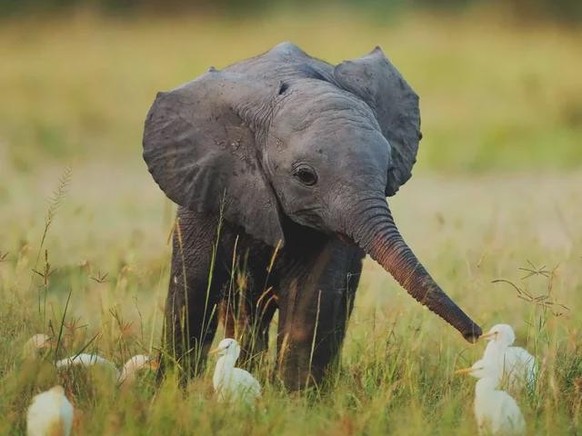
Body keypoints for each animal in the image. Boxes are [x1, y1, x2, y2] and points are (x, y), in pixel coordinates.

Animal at [143, 41, 484, 388]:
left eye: (388, 169)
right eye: (305, 176)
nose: (476, 333)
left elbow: (314, 294)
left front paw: (296, 396)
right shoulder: (209, 185)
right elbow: (195, 287)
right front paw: (172, 389)